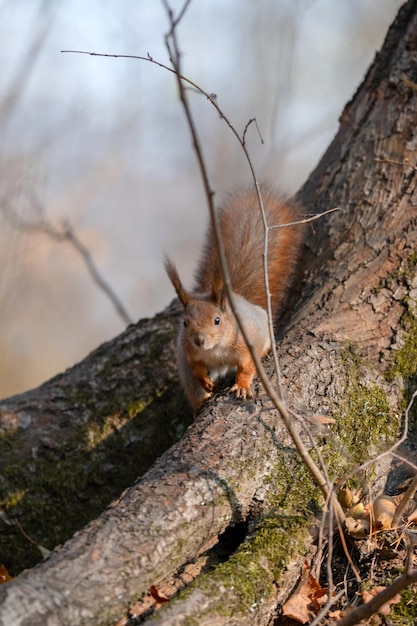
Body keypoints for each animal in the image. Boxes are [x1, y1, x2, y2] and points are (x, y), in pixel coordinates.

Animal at [164, 186, 304, 410]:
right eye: (185, 323)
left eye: (217, 320)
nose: (199, 340)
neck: (215, 350)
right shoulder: (188, 352)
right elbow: (196, 368)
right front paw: (205, 381)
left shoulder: (247, 343)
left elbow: (247, 366)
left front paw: (242, 386)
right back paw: (202, 400)